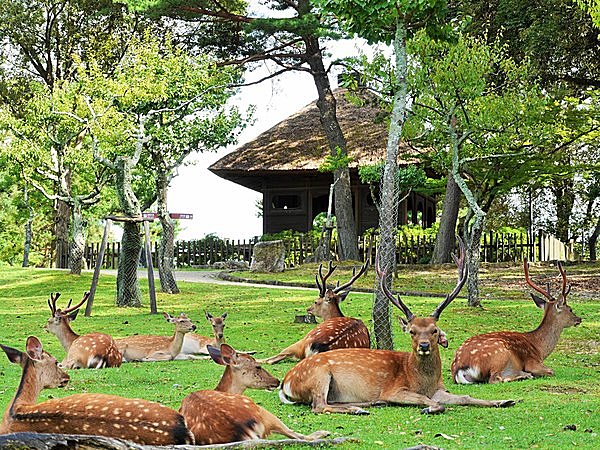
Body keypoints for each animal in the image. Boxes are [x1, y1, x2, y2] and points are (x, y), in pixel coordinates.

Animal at [179, 344, 328, 442]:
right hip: (263, 411)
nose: (276, 381)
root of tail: (245, 432)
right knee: (299, 436)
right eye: (258, 366)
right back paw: (324, 432)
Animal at [278, 239, 516, 414]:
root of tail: (285, 382)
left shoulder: (440, 389)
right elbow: (427, 401)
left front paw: (504, 401)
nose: (423, 346)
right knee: (318, 406)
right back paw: (360, 408)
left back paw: (368, 404)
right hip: (318, 375)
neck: (423, 381)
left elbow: (466, 396)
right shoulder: (395, 390)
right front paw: (430, 408)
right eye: (412, 331)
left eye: (434, 330)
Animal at [452, 260, 584, 384]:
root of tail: (459, 368)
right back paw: (524, 375)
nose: (579, 319)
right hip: (499, 354)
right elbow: (551, 371)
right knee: (495, 378)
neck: (539, 348)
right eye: (570, 309)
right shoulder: (532, 362)